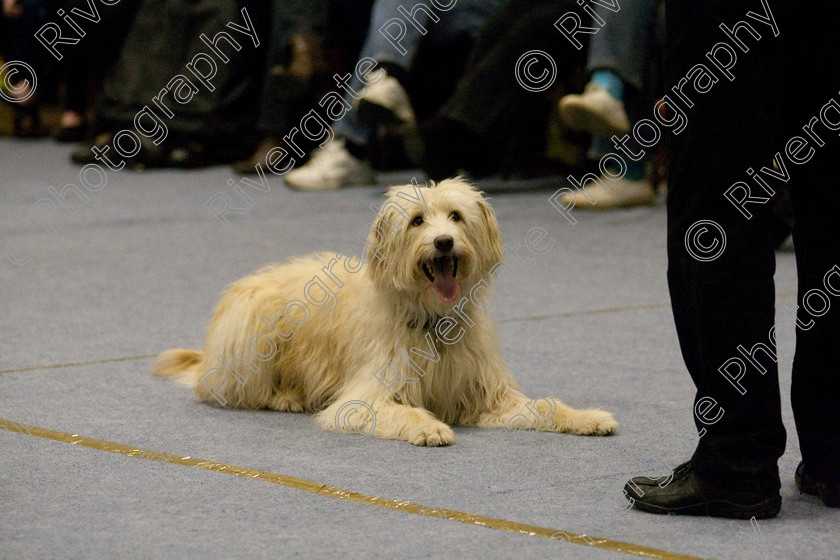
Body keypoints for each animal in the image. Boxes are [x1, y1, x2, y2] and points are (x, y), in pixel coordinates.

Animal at [154, 179, 616, 446]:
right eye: (417, 221)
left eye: (456, 216)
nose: (444, 242)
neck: (433, 323)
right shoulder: (363, 398)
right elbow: (397, 410)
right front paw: (427, 426)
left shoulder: (488, 395)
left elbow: (544, 406)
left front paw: (587, 417)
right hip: (253, 330)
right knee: (233, 391)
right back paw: (285, 397)